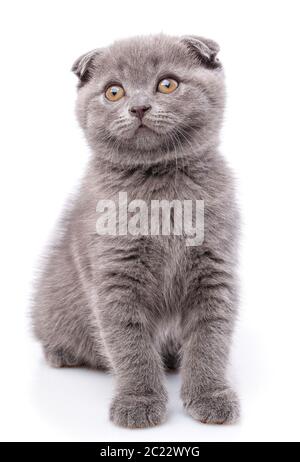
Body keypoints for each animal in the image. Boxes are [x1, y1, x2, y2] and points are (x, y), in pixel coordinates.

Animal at [31, 34, 240, 428]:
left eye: (167, 83)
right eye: (114, 91)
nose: (139, 107)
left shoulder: (215, 267)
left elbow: (211, 335)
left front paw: (211, 395)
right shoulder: (115, 274)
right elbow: (130, 344)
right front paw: (139, 401)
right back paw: (61, 353)